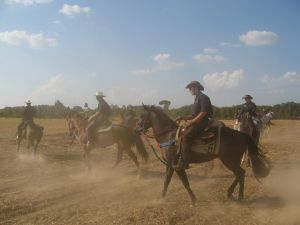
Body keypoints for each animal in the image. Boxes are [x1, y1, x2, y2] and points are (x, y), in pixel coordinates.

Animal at [136, 105, 270, 206]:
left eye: (142, 116)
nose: (137, 129)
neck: (169, 136)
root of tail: (242, 134)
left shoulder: (178, 165)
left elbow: (185, 183)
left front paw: (193, 200)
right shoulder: (170, 164)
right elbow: (166, 181)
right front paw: (161, 198)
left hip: (229, 160)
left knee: (240, 173)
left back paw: (239, 196)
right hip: (231, 161)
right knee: (240, 174)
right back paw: (231, 194)